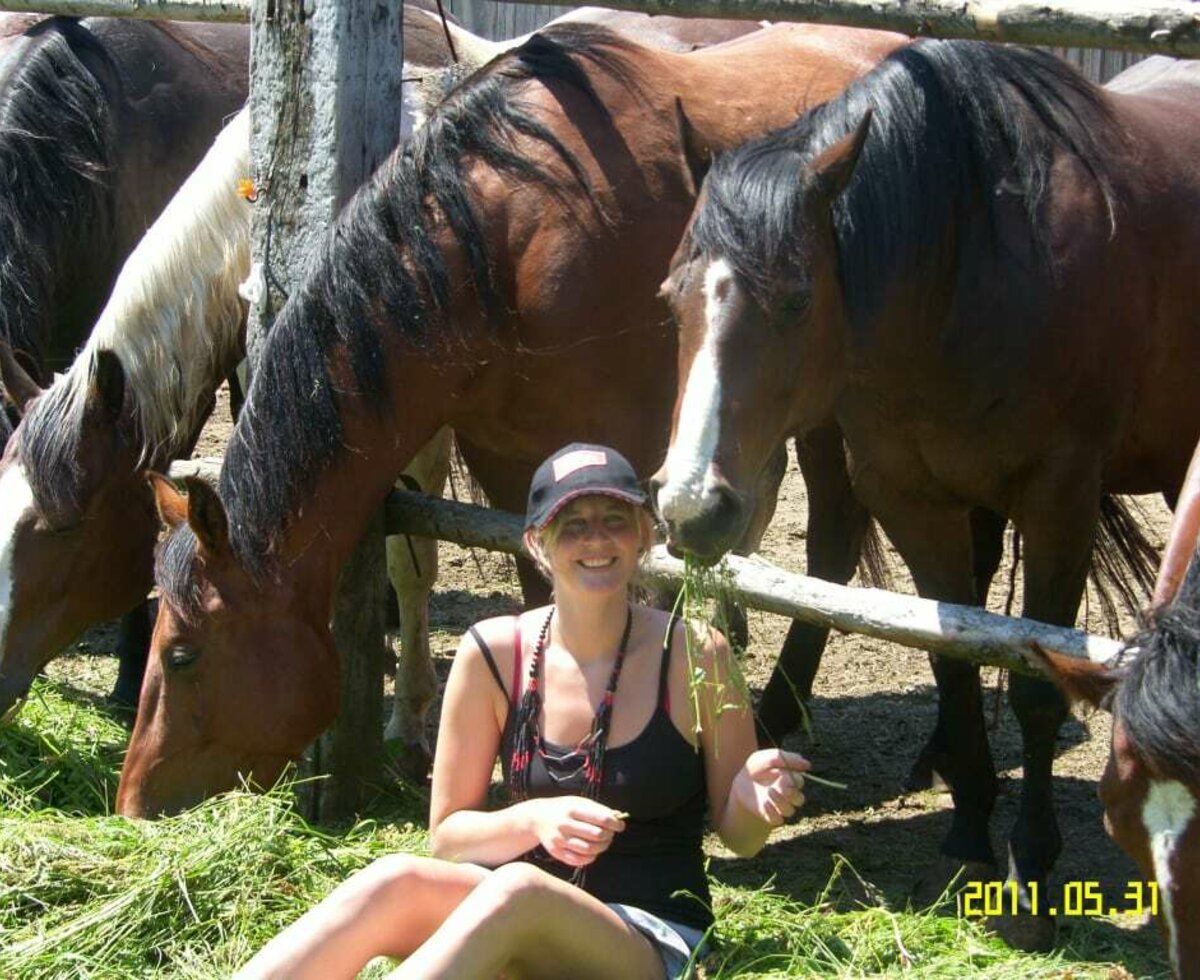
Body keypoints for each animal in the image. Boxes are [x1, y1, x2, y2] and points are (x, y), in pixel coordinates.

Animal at [117, 24, 907, 820]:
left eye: (181, 654)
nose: (132, 799)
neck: (505, 248)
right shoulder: (511, 458)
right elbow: (541, 587)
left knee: (830, 542)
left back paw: (777, 708)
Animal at [652, 41, 1200, 950]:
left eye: (796, 299)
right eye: (672, 299)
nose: (692, 507)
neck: (972, 262)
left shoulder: (1059, 504)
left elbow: (1036, 685)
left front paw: (1031, 861)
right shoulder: (911, 497)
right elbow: (952, 650)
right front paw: (973, 819)